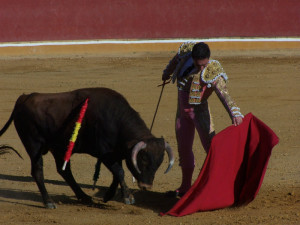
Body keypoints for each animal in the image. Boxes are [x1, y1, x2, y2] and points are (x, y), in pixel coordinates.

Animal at [0, 87, 173, 208]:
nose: (146, 186)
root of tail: (24, 98)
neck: (117, 121)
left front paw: (108, 195)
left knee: (64, 171)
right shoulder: (104, 153)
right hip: (33, 145)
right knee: (38, 171)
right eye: (143, 160)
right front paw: (128, 197)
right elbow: (120, 172)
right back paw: (49, 202)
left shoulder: (115, 154)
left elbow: (117, 174)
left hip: (59, 148)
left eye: (159, 163)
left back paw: (84, 197)